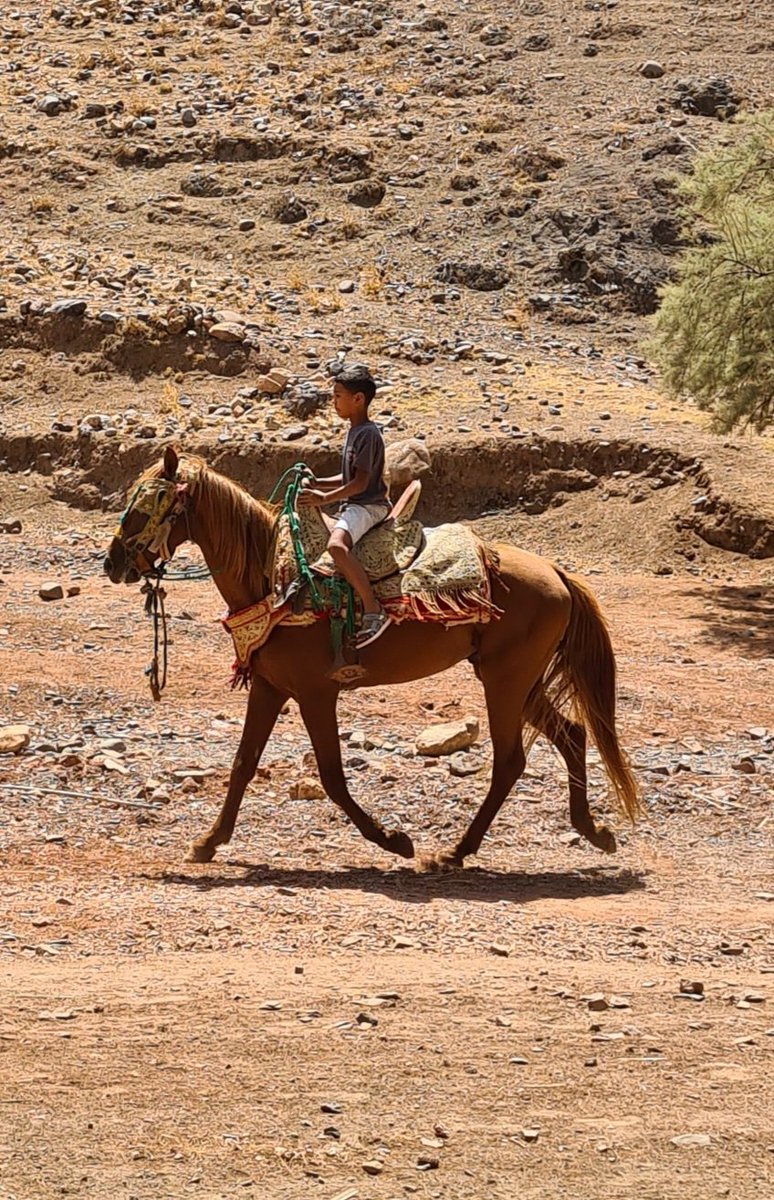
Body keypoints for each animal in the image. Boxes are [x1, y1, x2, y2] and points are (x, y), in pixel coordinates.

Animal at [104, 447, 639, 869]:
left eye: (144, 507)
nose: (112, 563)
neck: (275, 579)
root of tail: (557, 572)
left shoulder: (316, 694)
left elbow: (332, 776)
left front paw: (394, 841)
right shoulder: (272, 687)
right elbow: (242, 763)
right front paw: (208, 841)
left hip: (506, 681)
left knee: (511, 760)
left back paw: (455, 852)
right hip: (518, 681)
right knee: (572, 734)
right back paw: (593, 832)